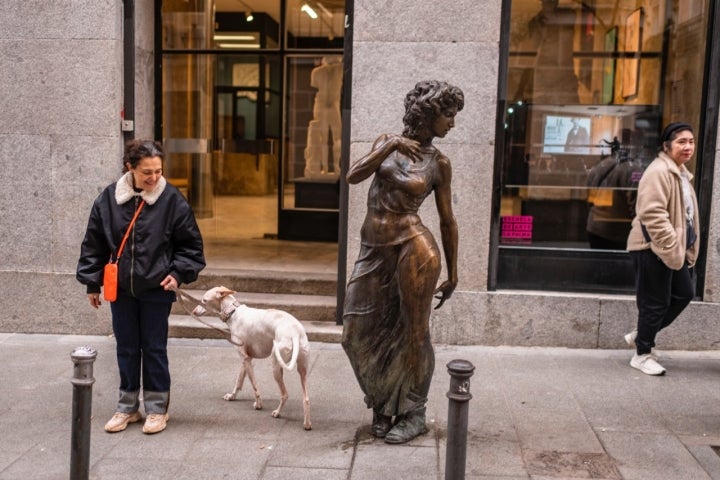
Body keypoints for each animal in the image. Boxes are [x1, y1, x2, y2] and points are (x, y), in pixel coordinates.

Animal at [193, 286, 310, 430]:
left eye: (204, 300)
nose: (194, 311)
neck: (234, 313)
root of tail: (295, 332)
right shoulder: (247, 359)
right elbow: (238, 381)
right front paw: (232, 396)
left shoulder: (246, 359)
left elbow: (255, 387)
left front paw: (258, 404)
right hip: (302, 371)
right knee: (306, 399)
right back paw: (307, 424)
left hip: (276, 366)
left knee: (285, 394)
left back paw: (277, 413)